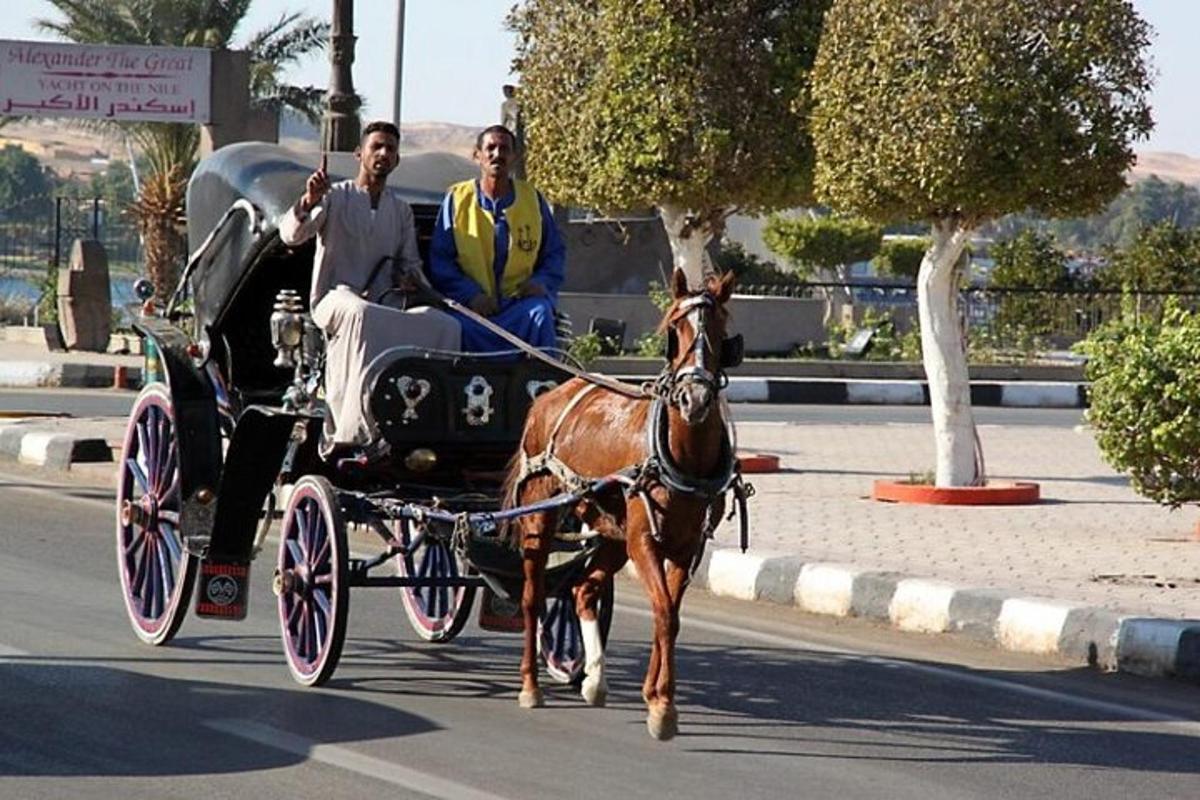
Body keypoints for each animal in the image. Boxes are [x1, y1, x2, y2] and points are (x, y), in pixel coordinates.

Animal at [501, 267, 744, 738]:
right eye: (674, 328)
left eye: (721, 330)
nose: (694, 400)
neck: (681, 455)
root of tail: (549, 396)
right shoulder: (643, 541)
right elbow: (664, 612)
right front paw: (663, 707)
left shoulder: (687, 547)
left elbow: (670, 614)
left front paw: (655, 695)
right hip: (541, 517)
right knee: (532, 597)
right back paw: (530, 686)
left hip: (611, 534)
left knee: (584, 588)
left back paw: (594, 680)